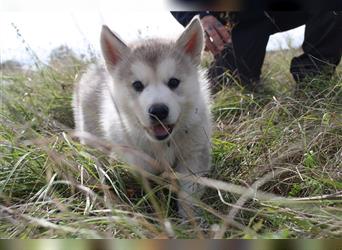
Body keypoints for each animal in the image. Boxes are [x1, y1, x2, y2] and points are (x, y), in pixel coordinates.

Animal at [73, 16, 211, 216]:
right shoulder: (136, 163)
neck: (162, 144)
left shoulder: (194, 156)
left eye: (174, 82)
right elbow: (149, 192)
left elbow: (188, 198)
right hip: (94, 144)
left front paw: (191, 220)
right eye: (137, 85)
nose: (158, 111)